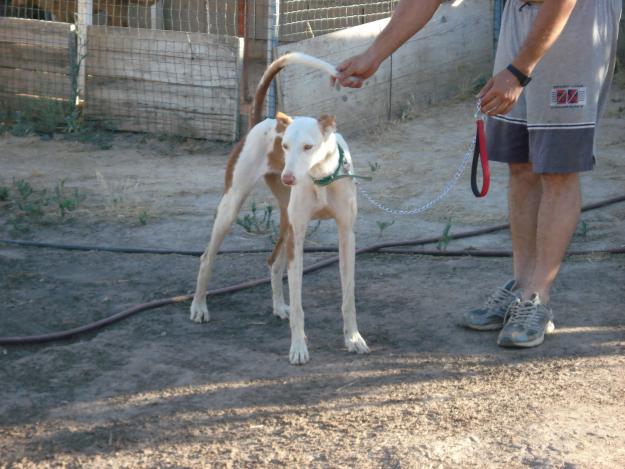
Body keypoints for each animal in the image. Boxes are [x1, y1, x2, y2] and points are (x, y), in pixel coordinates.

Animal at [189, 52, 366, 366]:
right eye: (284, 146)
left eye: (308, 147)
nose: (289, 177)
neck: (321, 176)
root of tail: (264, 120)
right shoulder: (299, 237)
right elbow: (299, 306)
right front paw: (298, 347)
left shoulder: (347, 236)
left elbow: (348, 297)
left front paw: (353, 338)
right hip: (233, 206)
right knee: (207, 257)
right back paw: (199, 307)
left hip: (286, 221)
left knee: (273, 262)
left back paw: (278, 306)